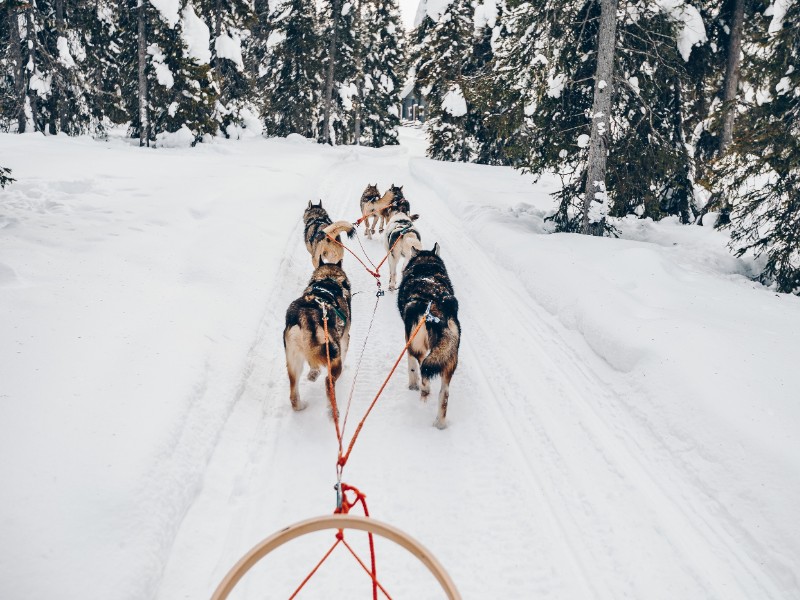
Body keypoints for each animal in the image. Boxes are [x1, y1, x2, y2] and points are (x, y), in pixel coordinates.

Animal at [286, 264, 352, 412]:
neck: (328, 279)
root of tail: (305, 315)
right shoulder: (345, 339)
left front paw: (313, 374)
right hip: (333, 355)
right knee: (328, 381)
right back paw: (333, 410)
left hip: (294, 362)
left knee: (293, 396)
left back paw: (301, 405)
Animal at [396, 241, 460, 428]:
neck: (426, 269)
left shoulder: (409, 341)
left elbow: (411, 367)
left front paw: (412, 385)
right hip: (449, 359)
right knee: (444, 395)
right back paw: (440, 424)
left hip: (418, 347)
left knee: (423, 370)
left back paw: (424, 389)